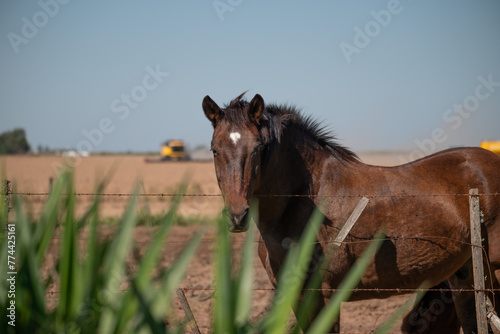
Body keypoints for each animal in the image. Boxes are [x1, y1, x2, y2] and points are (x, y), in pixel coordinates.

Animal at [202, 92, 500, 334]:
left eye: (258, 148)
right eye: (215, 150)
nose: (237, 216)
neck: (304, 202)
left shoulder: (322, 297)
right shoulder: (295, 297)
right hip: (465, 279)